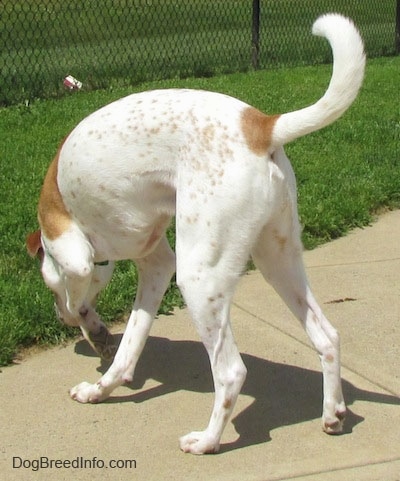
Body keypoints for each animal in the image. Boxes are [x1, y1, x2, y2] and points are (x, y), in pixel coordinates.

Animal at [26, 13, 366, 452]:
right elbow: (127, 349)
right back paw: (332, 414)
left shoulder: (75, 256)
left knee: (231, 372)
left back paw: (207, 441)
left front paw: (87, 325)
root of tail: (262, 125)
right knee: (327, 337)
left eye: (46, 284)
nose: (56, 318)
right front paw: (100, 387)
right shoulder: (155, 266)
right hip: (278, 261)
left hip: (199, 278)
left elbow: (77, 297)